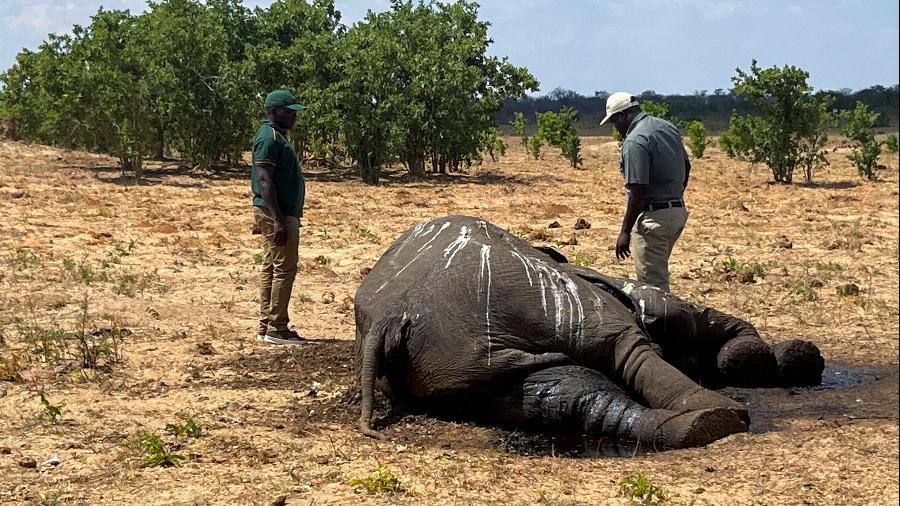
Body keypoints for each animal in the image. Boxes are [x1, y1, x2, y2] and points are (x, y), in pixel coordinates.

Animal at [356, 215, 828, 448]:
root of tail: (393, 315)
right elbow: (685, 318)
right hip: (536, 299)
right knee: (626, 347)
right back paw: (716, 416)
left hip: (455, 364)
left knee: (562, 396)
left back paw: (693, 427)